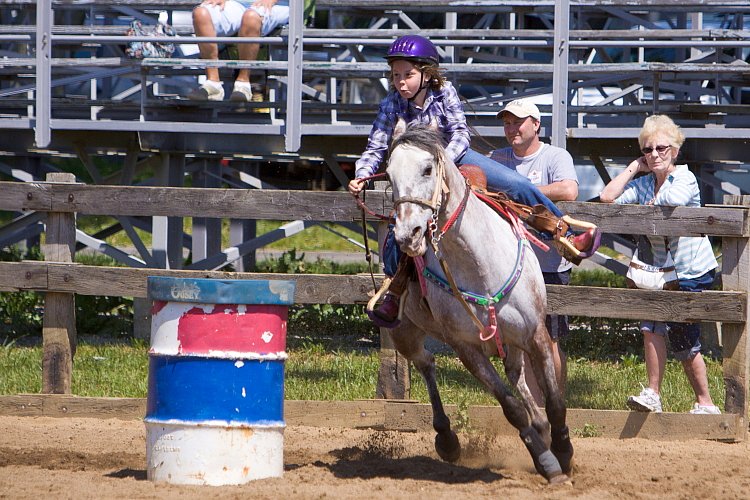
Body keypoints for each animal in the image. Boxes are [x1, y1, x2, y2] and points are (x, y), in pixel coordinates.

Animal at [388, 119, 576, 482]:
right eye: (388, 175)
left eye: (428, 168)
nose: (407, 235)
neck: (478, 263)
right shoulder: (467, 349)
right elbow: (511, 408)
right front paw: (546, 461)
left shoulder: (536, 334)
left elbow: (556, 401)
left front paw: (563, 451)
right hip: (403, 333)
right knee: (425, 363)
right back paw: (447, 438)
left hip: (513, 341)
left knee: (517, 375)